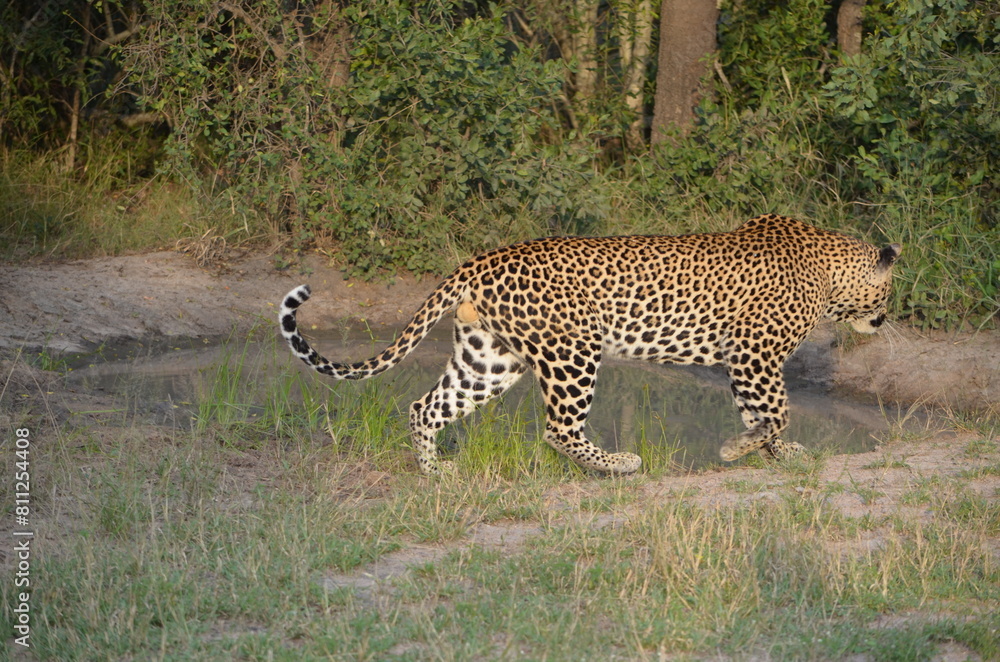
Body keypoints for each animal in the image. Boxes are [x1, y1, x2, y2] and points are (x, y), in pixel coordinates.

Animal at [280, 214, 901, 475]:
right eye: (892, 286)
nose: (888, 315)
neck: (828, 269)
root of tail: (482, 259)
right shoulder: (755, 355)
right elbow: (775, 411)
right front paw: (741, 450)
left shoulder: (745, 362)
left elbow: (762, 414)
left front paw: (774, 453)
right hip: (572, 352)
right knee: (558, 428)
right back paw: (619, 464)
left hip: (489, 357)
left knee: (425, 407)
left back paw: (436, 475)